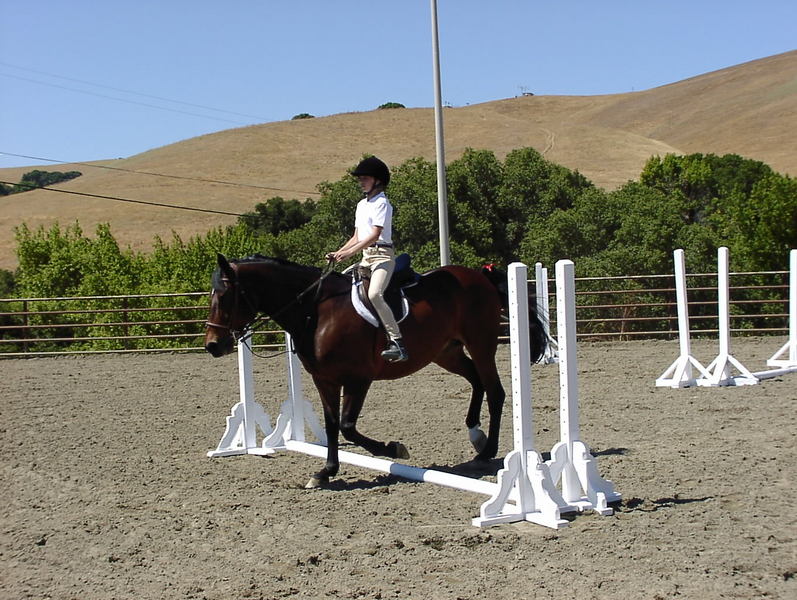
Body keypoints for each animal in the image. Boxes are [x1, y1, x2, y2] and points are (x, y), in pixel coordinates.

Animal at [204, 253, 546, 488]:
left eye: (225, 296)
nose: (213, 346)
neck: (315, 311)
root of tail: (479, 276)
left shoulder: (359, 379)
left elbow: (348, 426)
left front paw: (394, 449)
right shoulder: (324, 380)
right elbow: (332, 426)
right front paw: (325, 472)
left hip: (480, 344)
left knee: (495, 391)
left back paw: (486, 451)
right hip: (446, 352)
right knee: (477, 381)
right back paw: (475, 434)